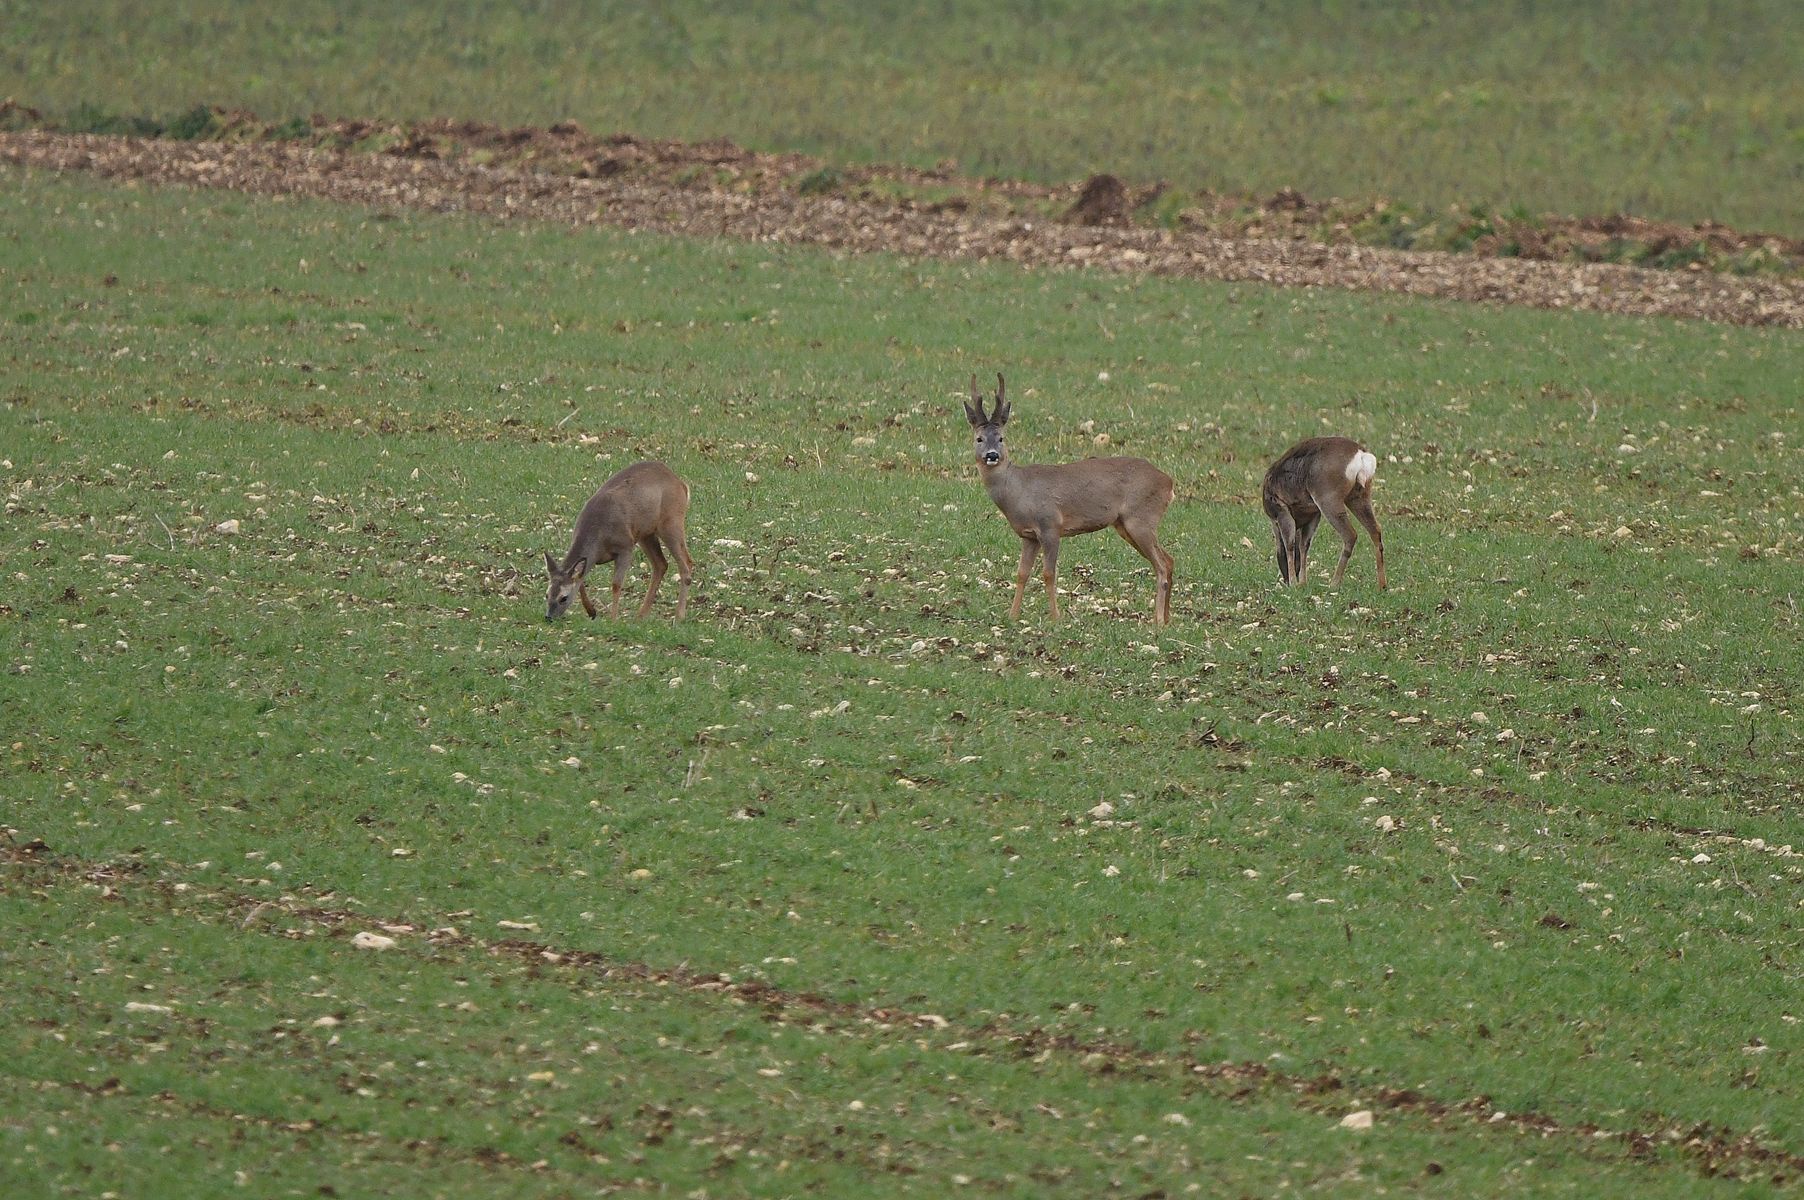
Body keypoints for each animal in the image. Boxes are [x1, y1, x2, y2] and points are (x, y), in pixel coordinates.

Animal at [537, 460, 692, 620]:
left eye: (564, 598)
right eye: (547, 594)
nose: (548, 617)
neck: (599, 538)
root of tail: (682, 484)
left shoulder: (625, 547)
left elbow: (616, 584)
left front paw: (612, 618)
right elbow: (581, 580)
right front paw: (592, 611)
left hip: (671, 522)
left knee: (686, 563)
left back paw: (679, 616)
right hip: (645, 533)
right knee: (661, 564)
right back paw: (641, 615)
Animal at [966, 375, 1176, 620]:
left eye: (1001, 438)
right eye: (979, 439)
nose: (992, 455)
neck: (1018, 491)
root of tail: (1169, 483)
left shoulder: (1050, 525)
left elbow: (1049, 574)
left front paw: (1055, 617)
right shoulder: (1029, 536)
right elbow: (1022, 573)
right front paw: (1013, 615)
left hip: (1141, 518)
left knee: (1162, 564)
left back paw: (1157, 621)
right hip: (1125, 524)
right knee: (1169, 560)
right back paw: (1166, 620)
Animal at [1262, 438, 1385, 591]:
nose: (1285, 580)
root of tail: (1362, 456)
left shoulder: (1281, 510)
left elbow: (1290, 545)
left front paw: (1294, 584)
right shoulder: (1314, 514)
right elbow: (1304, 545)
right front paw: (1302, 582)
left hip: (1328, 498)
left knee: (1351, 535)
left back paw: (1333, 583)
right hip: (1359, 496)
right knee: (1375, 530)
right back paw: (1382, 585)